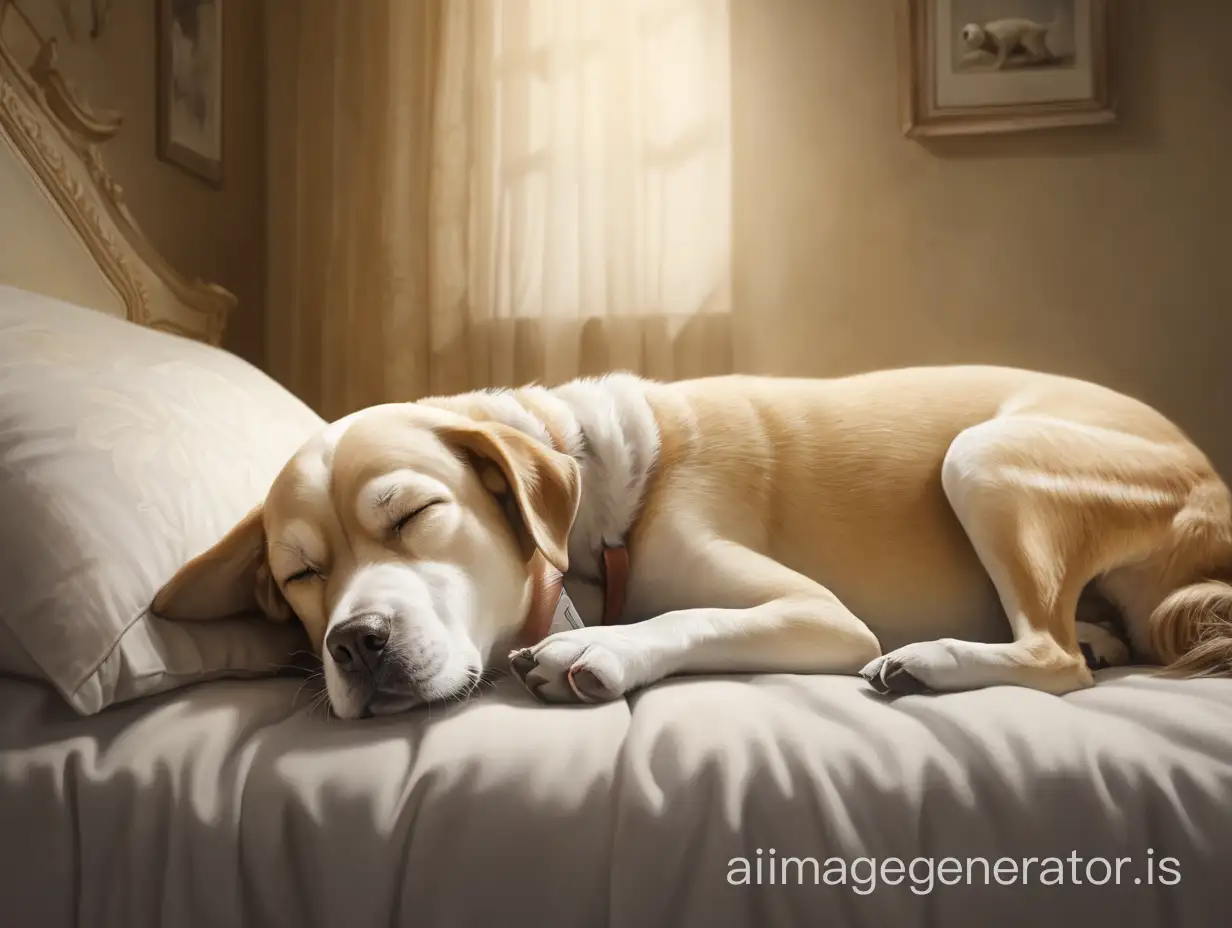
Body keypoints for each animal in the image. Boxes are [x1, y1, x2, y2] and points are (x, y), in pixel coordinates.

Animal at [151, 364, 1232, 719]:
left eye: (413, 516)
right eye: (300, 573)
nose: (355, 643)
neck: (595, 507)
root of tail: (1209, 484)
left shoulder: (821, 615)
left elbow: (691, 616)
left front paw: (594, 648)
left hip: (984, 454)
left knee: (1052, 660)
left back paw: (930, 659)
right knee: (1077, 640)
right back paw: (1093, 633)